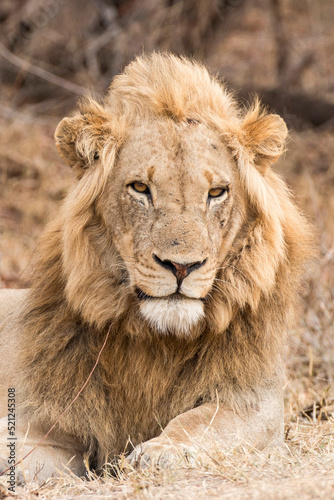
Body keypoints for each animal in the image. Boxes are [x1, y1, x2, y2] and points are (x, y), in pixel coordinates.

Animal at [0, 52, 314, 482]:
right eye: (140, 188)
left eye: (217, 192)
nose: (181, 267)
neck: (158, 342)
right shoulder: (51, 419)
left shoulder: (253, 402)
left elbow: (200, 422)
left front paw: (161, 451)